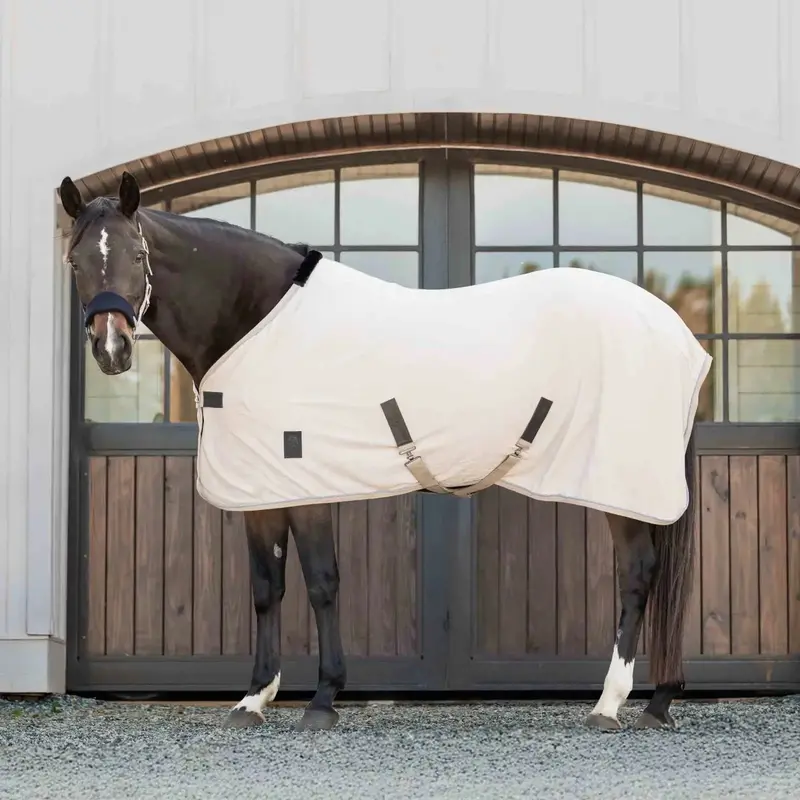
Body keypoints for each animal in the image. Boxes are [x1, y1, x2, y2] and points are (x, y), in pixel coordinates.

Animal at [60, 170, 706, 733]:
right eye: (74, 260)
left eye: (137, 256)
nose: (113, 348)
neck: (258, 322)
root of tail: (675, 331)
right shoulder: (261, 492)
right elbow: (268, 588)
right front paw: (253, 699)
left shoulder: (306, 485)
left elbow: (322, 582)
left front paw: (323, 700)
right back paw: (658, 703)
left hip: (619, 483)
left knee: (637, 574)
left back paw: (610, 704)